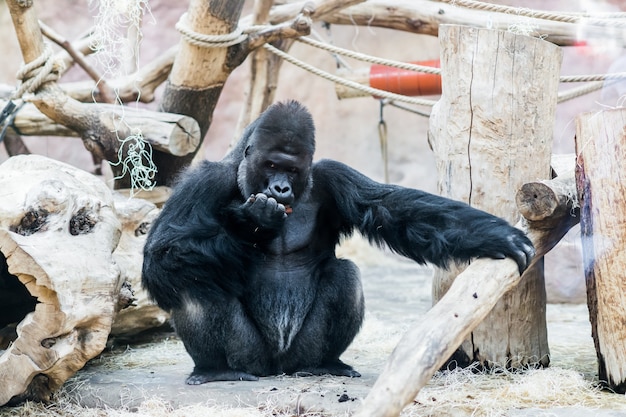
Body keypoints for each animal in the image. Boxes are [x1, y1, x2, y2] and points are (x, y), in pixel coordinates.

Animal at [141, 98, 532, 384]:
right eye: (271, 166)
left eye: (292, 170)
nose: (280, 188)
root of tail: (276, 369)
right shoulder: (202, 182)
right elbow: (161, 254)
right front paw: (252, 224)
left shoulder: (332, 175)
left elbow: (391, 208)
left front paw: (498, 236)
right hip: (250, 357)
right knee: (193, 277)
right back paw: (216, 368)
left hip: (299, 355)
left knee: (345, 275)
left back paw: (325, 363)